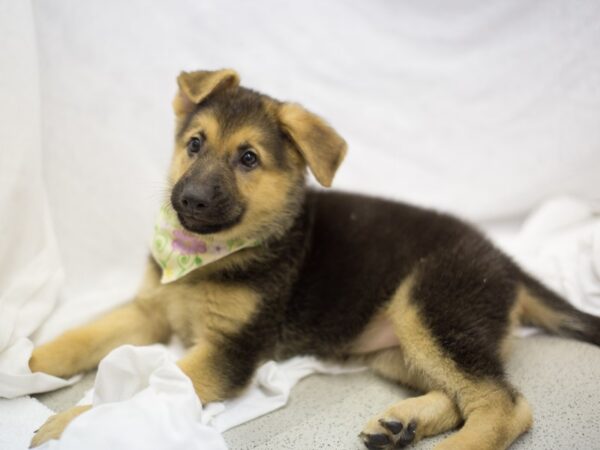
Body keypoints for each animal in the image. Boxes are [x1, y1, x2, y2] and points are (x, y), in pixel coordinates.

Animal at [30, 68, 600, 448]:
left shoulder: (230, 350)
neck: (205, 260)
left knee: (504, 404)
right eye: (194, 144)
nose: (187, 201)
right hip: (396, 345)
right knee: (464, 393)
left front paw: (72, 424)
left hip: (430, 307)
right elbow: (81, 337)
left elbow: (149, 385)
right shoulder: (150, 310)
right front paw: (31, 364)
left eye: (248, 159)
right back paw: (403, 424)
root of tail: (504, 259)